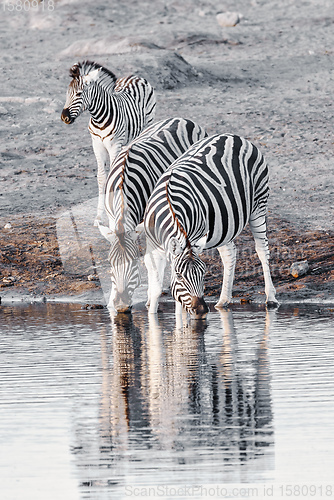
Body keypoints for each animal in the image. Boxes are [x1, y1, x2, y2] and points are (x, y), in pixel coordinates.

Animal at [60, 60, 156, 225]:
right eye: (67, 94)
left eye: (79, 94)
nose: (64, 117)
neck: (99, 119)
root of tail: (135, 76)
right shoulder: (97, 146)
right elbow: (101, 177)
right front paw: (99, 216)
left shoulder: (114, 145)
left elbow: (113, 173)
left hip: (147, 125)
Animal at [95, 117, 207, 312]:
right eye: (110, 264)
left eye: (134, 265)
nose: (122, 305)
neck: (123, 185)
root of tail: (182, 118)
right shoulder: (112, 219)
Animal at [145, 134, 278, 320]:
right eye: (179, 276)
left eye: (203, 274)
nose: (201, 310)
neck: (169, 206)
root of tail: (233, 136)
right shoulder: (153, 245)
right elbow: (157, 287)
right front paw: (151, 316)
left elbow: (179, 304)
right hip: (224, 225)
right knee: (230, 253)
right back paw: (223, 301)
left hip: (258, 206)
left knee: (262, 250)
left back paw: (271, 297)